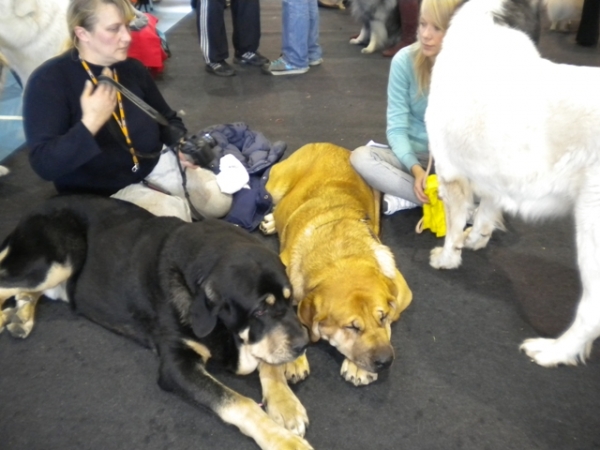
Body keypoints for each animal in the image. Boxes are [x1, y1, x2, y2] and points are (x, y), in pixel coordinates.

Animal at [1, 196, 314, 450]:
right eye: (260, 310)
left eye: (290, 301)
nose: (303, 345)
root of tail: (32, 211)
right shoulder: (177, 365)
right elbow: (240, 403)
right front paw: (283, 441)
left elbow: (269, 364)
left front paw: (286, 404)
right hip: (59, 260)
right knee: (8, 283)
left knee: (24, 291)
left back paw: (19, 318)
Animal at [262, 143, 412, 386]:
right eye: (351, 327)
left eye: (382, 317)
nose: (386, 361)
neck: (340, 256)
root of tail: (333, 145)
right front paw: (294, 360)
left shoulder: (402, 289)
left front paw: (357, 367)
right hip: (275, 185)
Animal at [424, 0, 600, 368]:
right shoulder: (494, 173)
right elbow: (486, 212)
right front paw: (475, 239)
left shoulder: (450, 173)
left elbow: (453, 226)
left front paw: (447, 257)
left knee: (592, 312)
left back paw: (553, 351)